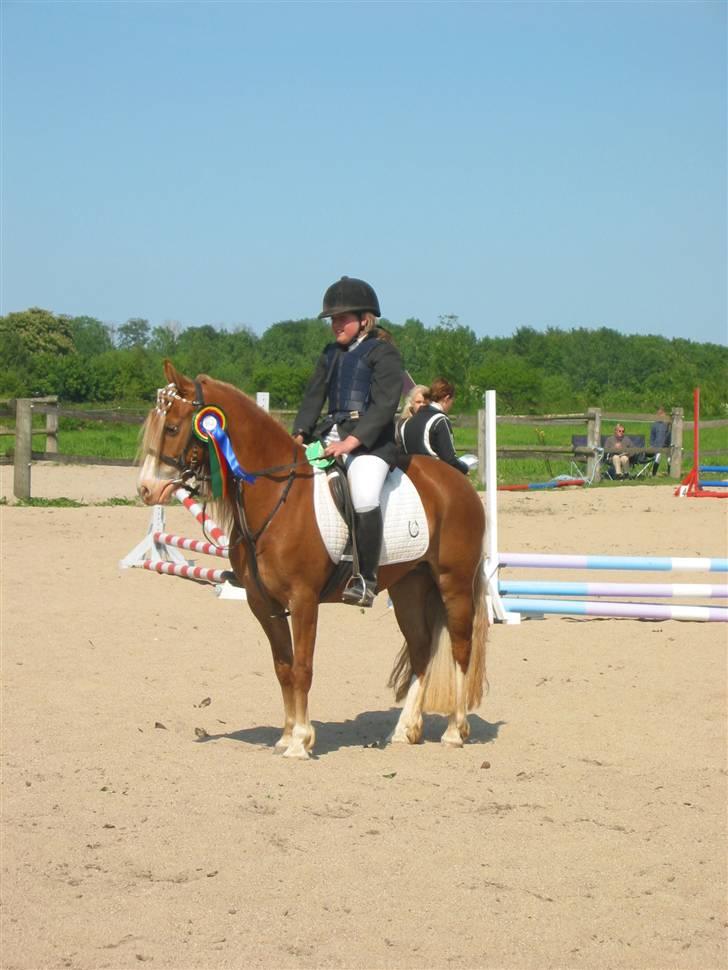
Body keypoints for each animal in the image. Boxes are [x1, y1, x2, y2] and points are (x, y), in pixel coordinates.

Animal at [139, 362, 486, 756]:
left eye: (172, 427)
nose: (146, 489)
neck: (278, 496)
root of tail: (457, 481)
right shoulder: (264, 604)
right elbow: (283, 667)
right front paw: (287, 734)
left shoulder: (303, 600)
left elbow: (303, 667)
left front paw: (301, 741)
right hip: (409, 588)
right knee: (421, 649)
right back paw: (404, 730)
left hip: (454, 583)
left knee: (460, 648)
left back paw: (455, 731)